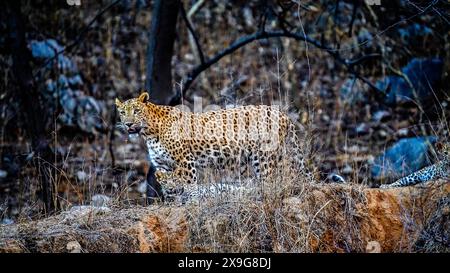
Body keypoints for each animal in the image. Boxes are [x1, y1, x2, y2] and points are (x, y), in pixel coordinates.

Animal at [114, 91, 308, 187]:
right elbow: (169, 186)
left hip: (265, 157)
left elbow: (190, 186)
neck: (150, 133)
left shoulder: (186, 161)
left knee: (274, 180)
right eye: (122, 112)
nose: (128, 124)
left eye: (136, 111)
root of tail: (281, 113)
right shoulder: (163, 166)